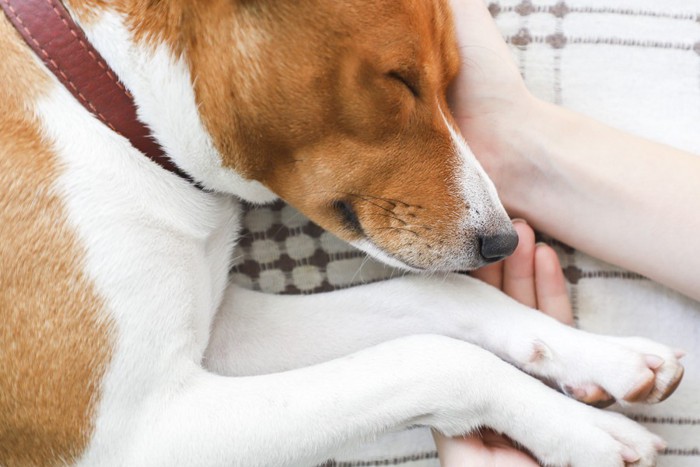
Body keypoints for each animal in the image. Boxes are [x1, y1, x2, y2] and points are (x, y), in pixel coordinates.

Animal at [0, 0, 680, 466]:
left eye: (451, 80)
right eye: (399, 80)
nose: (504, 242)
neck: (107, 96)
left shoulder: (219, 332)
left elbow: (440, 297)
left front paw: (606, 357)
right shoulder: (136, 431)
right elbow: (433, 357)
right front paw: (583, 432)